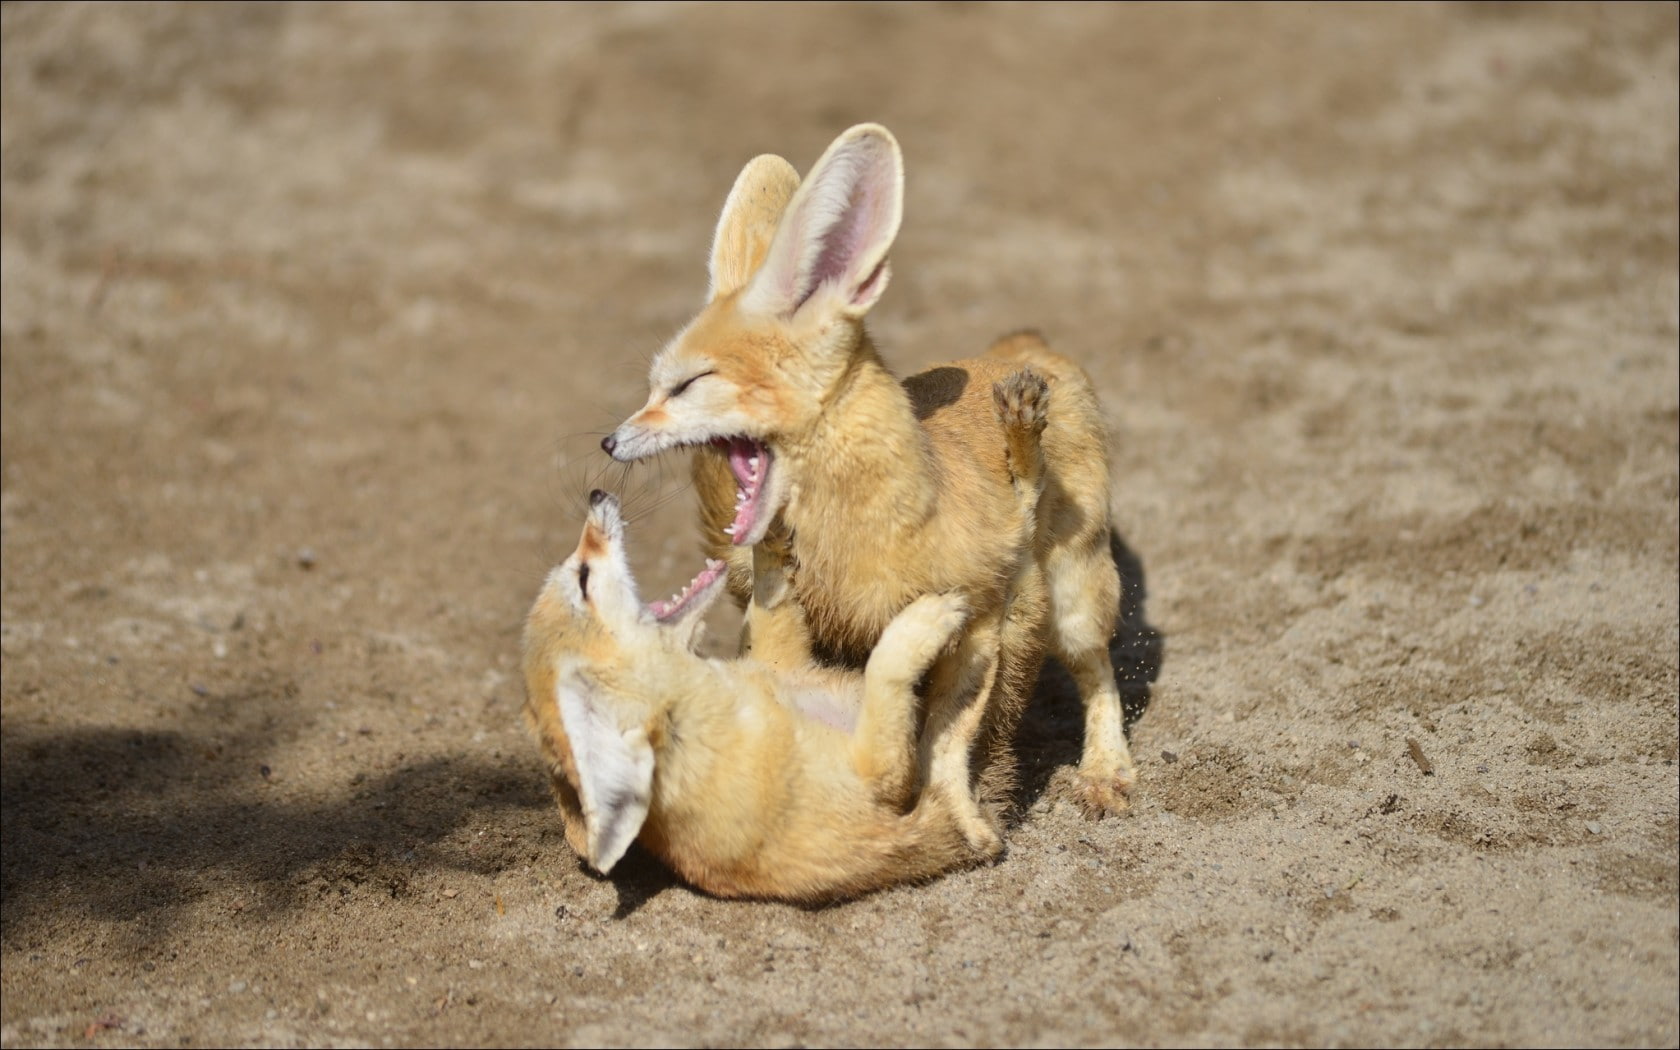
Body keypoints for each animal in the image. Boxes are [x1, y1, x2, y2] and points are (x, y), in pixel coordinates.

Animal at [520, 459, 1043, 899]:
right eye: (583, 579)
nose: (596, 493)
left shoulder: (779, 656)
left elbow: (769, 594)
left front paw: (762, 504)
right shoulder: (884, 773)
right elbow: (885, 670)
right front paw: (926, 619)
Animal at [599, 123, 1137, 852]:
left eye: (687, 384)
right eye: (655, 385)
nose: (608, 443)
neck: (861, 536)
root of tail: (1026, 350)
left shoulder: (986, 623)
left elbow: (956, 739)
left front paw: (966, 819)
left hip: (1077, 593)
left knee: (1097, 672)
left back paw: (1107, 773)